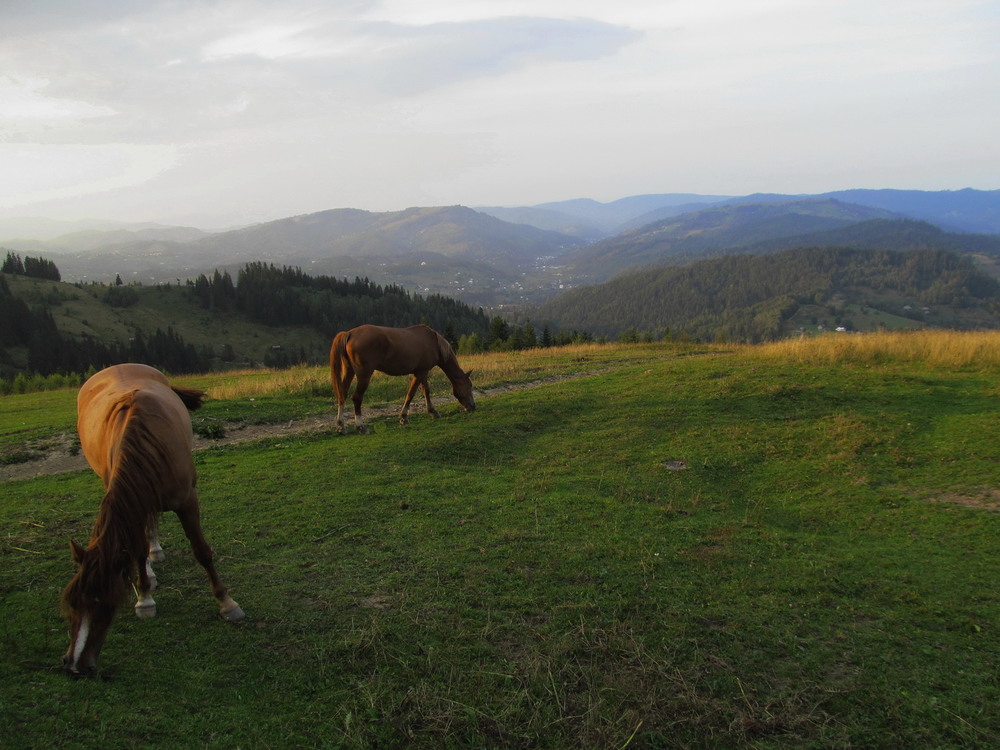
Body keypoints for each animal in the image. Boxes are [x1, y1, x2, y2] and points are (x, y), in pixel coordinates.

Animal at [61, 362, 243, 680]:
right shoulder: (132, 499)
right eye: (72, 604)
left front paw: (227, 603)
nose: (74, 666)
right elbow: (134, 550)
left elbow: (202, 551)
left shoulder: (187, 501)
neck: (146, 438)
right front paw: (144, 596)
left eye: (105, 604)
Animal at [330, 324, 474, 434]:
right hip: (364, 375)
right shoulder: (420, 373)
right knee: (356, 397)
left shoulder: (422, 372)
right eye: (470, 386)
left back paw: (341, 425)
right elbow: (411, 393)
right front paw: (404, 417)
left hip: (349, 371)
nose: (473, 406)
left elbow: (426, 391)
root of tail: (349, 334)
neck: (434, 343)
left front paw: (432, 411)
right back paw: (361, 426)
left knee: (342, 395)